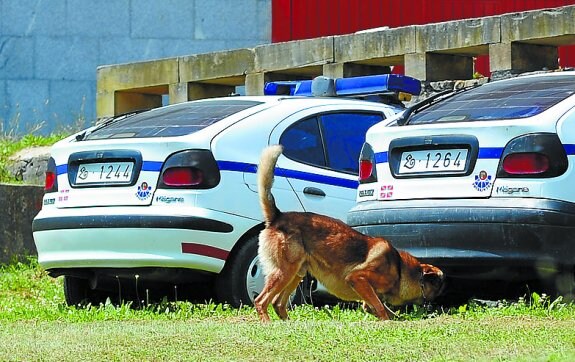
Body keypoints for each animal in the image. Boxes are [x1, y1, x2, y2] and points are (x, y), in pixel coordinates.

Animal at [254, 146, 448, 320]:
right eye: (438, 287)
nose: (437, 307)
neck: (400, 269)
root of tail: (277, 216)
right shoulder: (358, 278)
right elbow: (381, 308)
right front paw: (387, 321)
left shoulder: (367, 294)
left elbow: (381, 308)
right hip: (285, 271)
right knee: (261, 301)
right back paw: (267, 323)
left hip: (297, 273)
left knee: (277, 303)